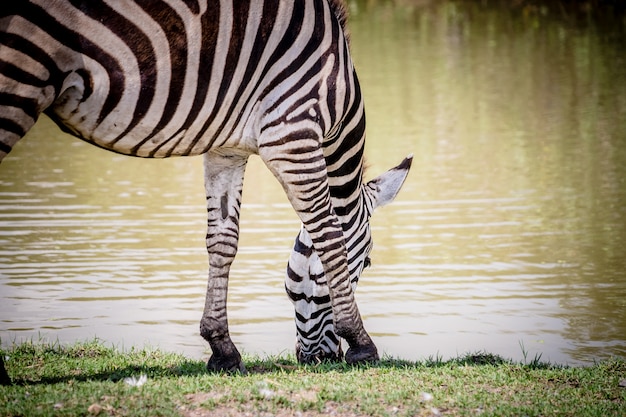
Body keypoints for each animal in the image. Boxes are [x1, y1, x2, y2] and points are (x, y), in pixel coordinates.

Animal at [0, 0, 410, 380]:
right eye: (368, 263)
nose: (325, 358)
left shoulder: (227, 147)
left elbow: (223, 240)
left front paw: (222, 349)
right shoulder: (292, 130)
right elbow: (328, 234)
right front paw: (361, 343)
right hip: (21, 72)